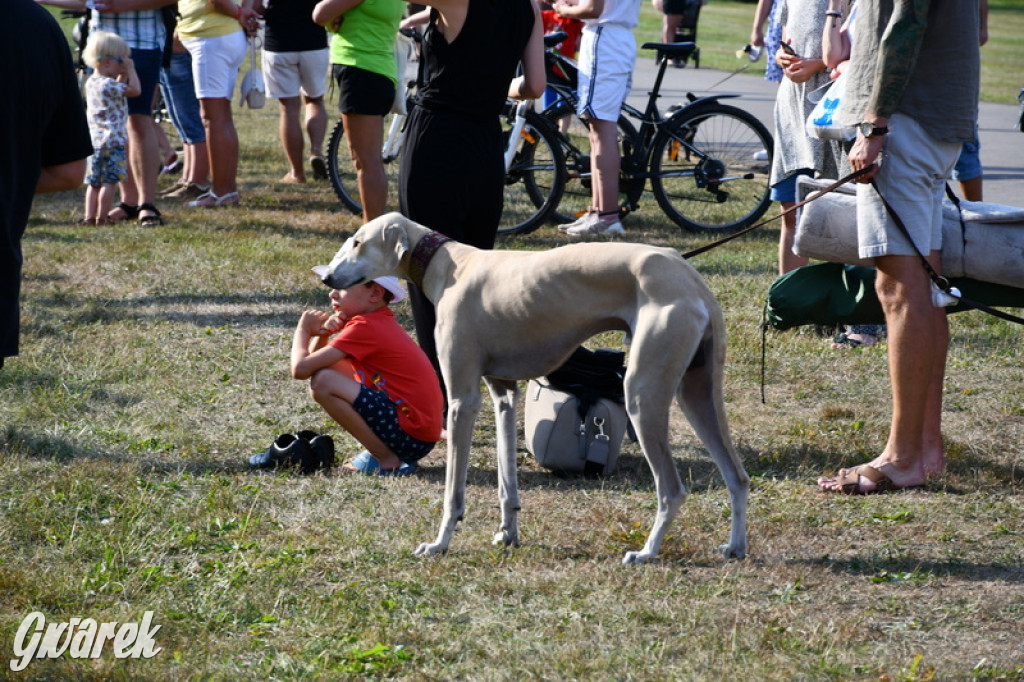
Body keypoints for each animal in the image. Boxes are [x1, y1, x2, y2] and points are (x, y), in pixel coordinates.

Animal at [323, 212, 749, 561]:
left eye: (357, 241)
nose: (327, 278)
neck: (448, 263)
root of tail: (688, 275)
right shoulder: (503, 392)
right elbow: (506, 481)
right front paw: (507, 533)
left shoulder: (462, 400)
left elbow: (453, 493)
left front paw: (440, 543)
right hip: (699, 392)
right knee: (737, 476)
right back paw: (734, 546)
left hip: (643, 395)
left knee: (672, 489)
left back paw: (646, 552)